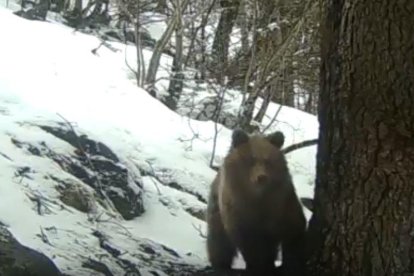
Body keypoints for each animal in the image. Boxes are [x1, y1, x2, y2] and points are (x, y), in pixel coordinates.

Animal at [205, 129, 306, 276]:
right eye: (251, 159)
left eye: (268, 160)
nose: (261, 177)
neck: (258, 197)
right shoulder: (239, 209)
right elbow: (248, 242)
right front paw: (257, 265)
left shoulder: (282, 203)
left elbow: (294, 230)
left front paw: (290, 263)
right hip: (216, 208)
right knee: (218, 239)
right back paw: (221, 264)